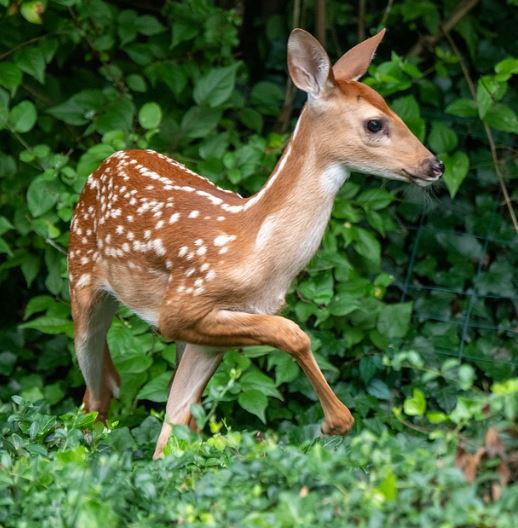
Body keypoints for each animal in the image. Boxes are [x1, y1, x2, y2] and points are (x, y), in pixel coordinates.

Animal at [67, 27, 444, 458]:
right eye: (375, 124)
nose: (435, 165)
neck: (257, 248)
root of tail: (107, 160)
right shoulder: (180, 308)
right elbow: (293, 332)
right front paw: (335, 421)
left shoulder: (210, 336)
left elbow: (173, 430)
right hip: (81, 281)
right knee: (94, 391)